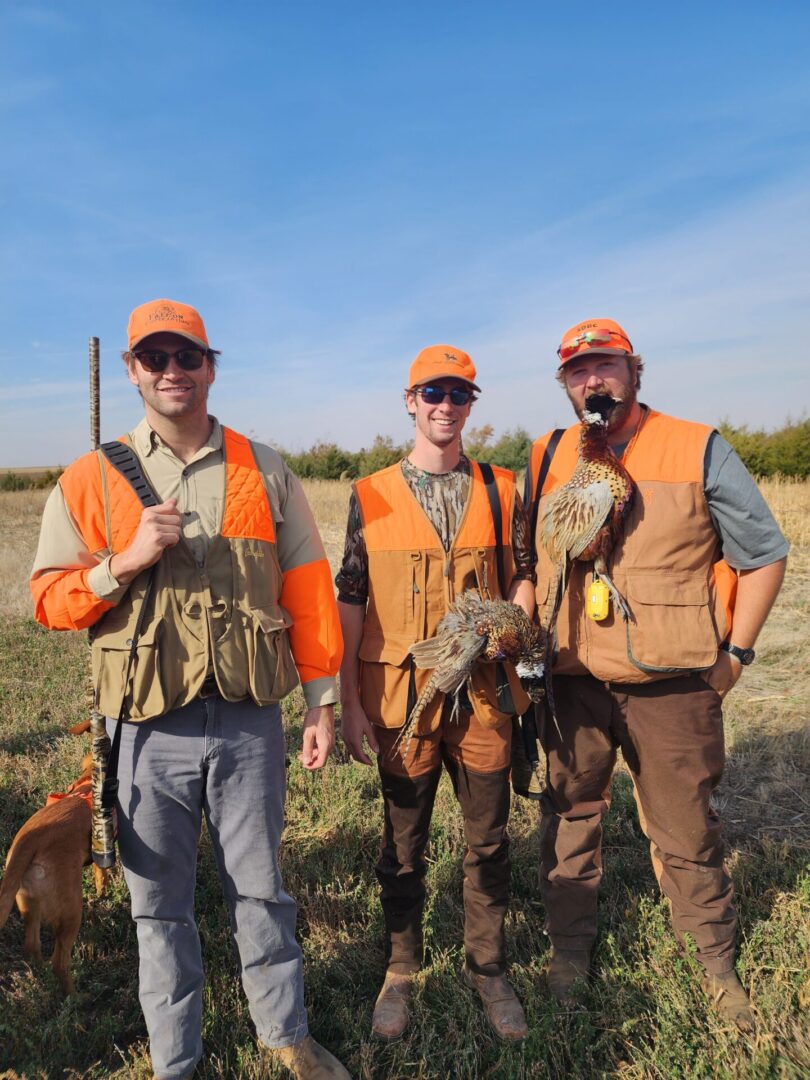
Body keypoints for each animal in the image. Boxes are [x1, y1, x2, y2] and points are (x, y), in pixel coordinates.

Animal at [0, 751, 109, 993]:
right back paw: (75, 997)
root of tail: (29, 840)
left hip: (29, 904)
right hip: (71, 912)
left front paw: (101, 893)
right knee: (59, 962)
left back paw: (40, 974)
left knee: (32, 947)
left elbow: (100, 874)